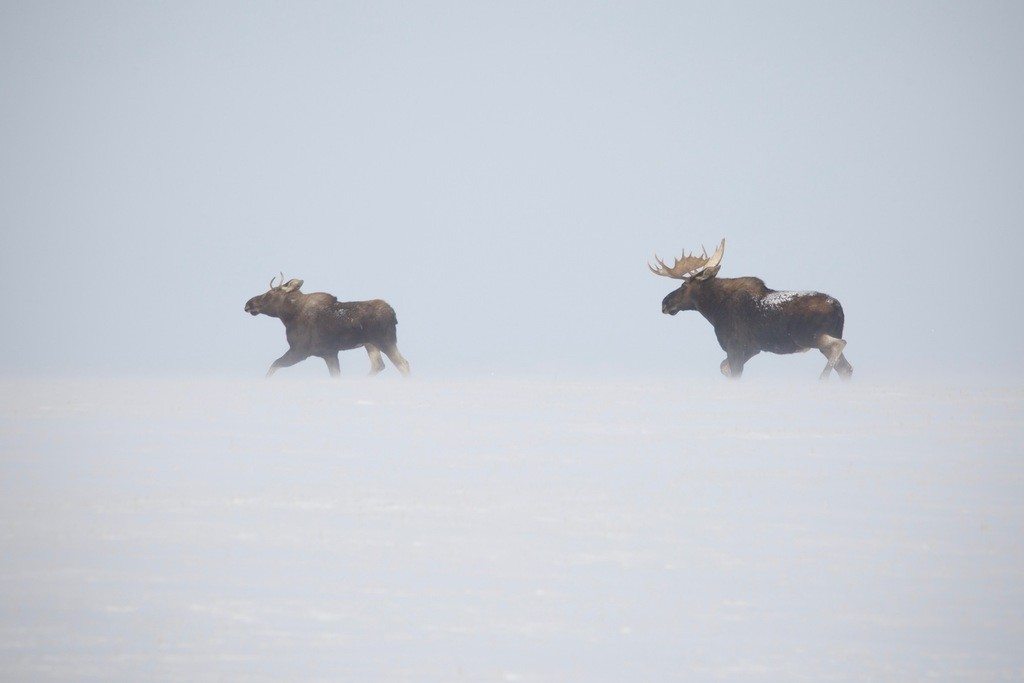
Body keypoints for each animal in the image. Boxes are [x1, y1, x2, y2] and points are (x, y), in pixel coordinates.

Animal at [244, 274, 410, 378]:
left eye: (269, 294)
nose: (248, 303)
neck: (289, 316)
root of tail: (393, 314)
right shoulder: (329, 353)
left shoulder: (300, 351)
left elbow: (274, 366)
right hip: (370, 344)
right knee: (379, 365)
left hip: (384, 341)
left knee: (403, 364)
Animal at [649, 239, 852, 380]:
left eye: (684, 285)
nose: (665, 303)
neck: (714, 310)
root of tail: (838, 308)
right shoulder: (752, 349)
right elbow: (724, 368)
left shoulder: (735, 347)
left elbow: (733, 373)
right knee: (846, 368)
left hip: (806, 336)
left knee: (839, 345)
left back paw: (822, 379)